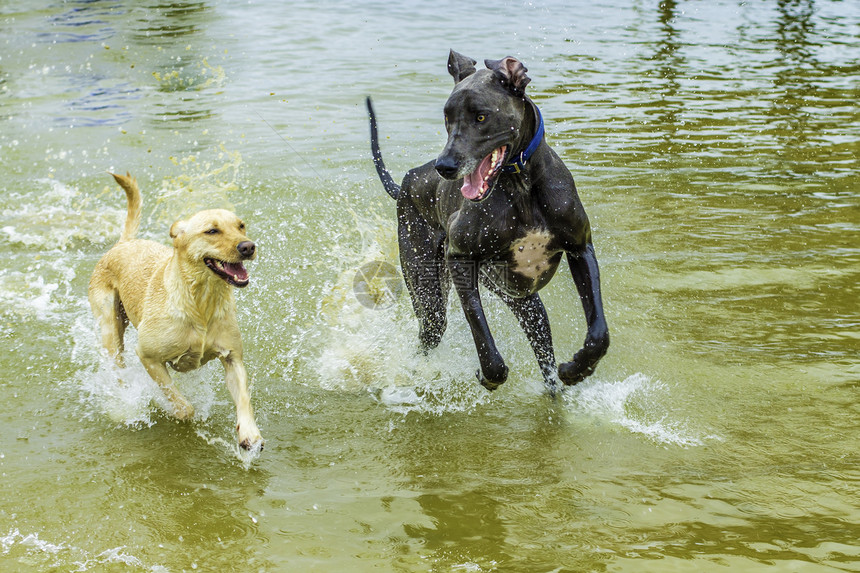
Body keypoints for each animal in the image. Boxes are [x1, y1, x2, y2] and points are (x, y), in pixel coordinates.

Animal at [366, 49, 608, 392]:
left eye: (480, 117)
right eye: (447, 118)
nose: (445, 166)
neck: (521, 185)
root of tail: (407, 182)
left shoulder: (580, 248)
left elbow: (599, 333)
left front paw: (576, 369)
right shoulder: (460, 259)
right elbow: (484, 339)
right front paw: (487, 375)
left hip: (527, 303)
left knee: (544, 354)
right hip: (429, 291)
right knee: (429, 331)